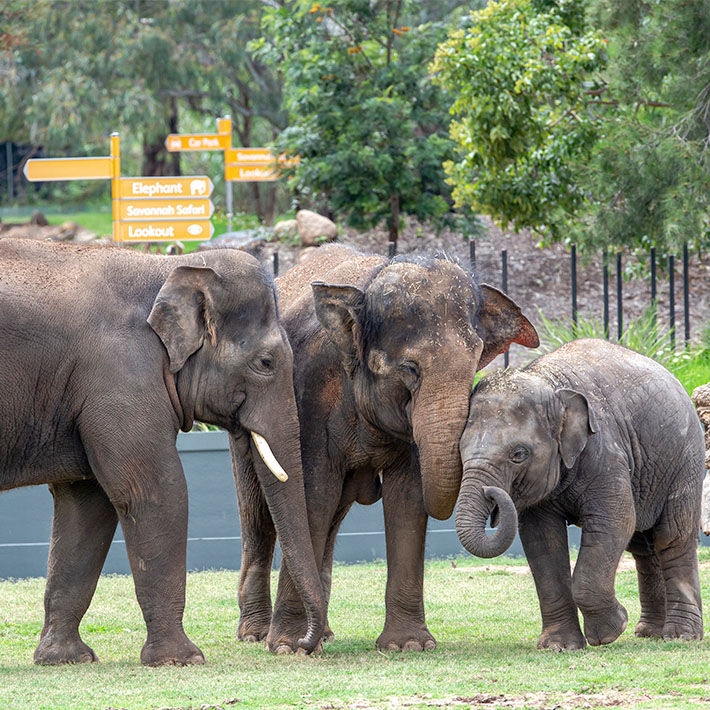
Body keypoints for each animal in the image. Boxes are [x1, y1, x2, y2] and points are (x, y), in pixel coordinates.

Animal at [0, 238, 325, 666]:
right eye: (266, 363)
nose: (301, 646)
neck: (171, 266)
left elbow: (86, 504)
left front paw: (66, 659)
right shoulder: (122, 375)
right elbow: (155, 492)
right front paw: (183, 660)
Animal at [232, 244, 538, 653]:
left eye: (476, 361)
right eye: (410, 368)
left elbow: (408, 498)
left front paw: (408, 645)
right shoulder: (307, 394)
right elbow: (311, 494)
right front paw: (287, 646)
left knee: (332, 515)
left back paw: (323, 633)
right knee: (258, 513)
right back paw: (255, 634)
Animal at [456, 338, 704, 650]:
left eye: (519, 455)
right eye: (459, 450)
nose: (491, 492)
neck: (548, 383)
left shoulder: (606, 452)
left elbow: (616, 522)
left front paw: (610, 631)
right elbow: (541, 540)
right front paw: (559, 646)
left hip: (685, 460)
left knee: (673, 536)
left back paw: (681, 636)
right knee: (643, 546)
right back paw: (649, 632)